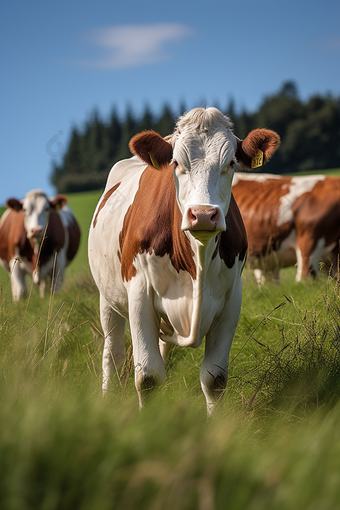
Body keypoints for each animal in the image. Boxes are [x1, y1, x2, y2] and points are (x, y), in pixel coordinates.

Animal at [87, 108, 278, 414]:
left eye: (231, 162)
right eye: (176, 163)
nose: (203, 214)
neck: (195, 261)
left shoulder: (232, 299)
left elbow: (214, 378)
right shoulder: (139, 293)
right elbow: (148, 376)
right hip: (108, 297)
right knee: (113, 353)